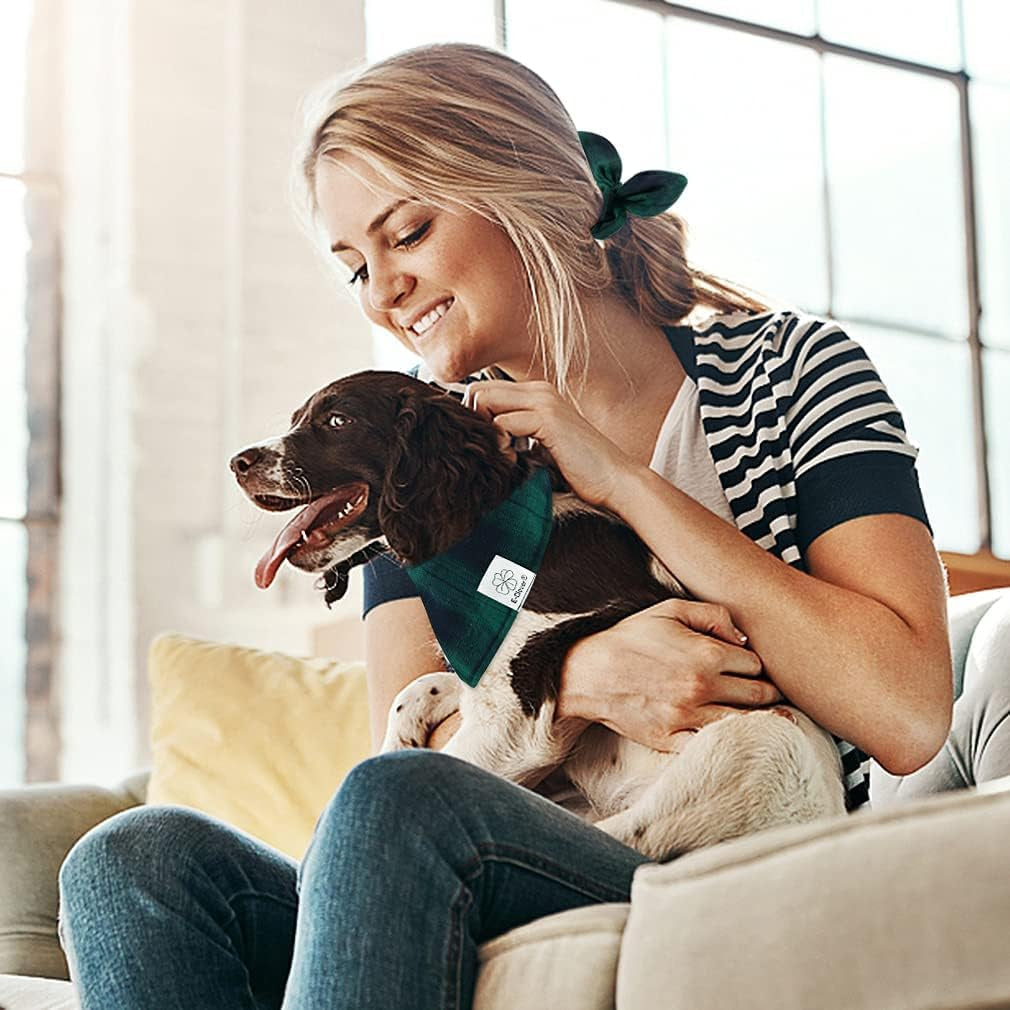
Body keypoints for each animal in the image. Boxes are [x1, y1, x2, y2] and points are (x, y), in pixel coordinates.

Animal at [229, 371, 844, 860]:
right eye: (298, 418)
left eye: (337, 420)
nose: (238, 462)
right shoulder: (484, 670)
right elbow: (420, 688)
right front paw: (398, 736)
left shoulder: (514, 721)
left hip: (748, 749)